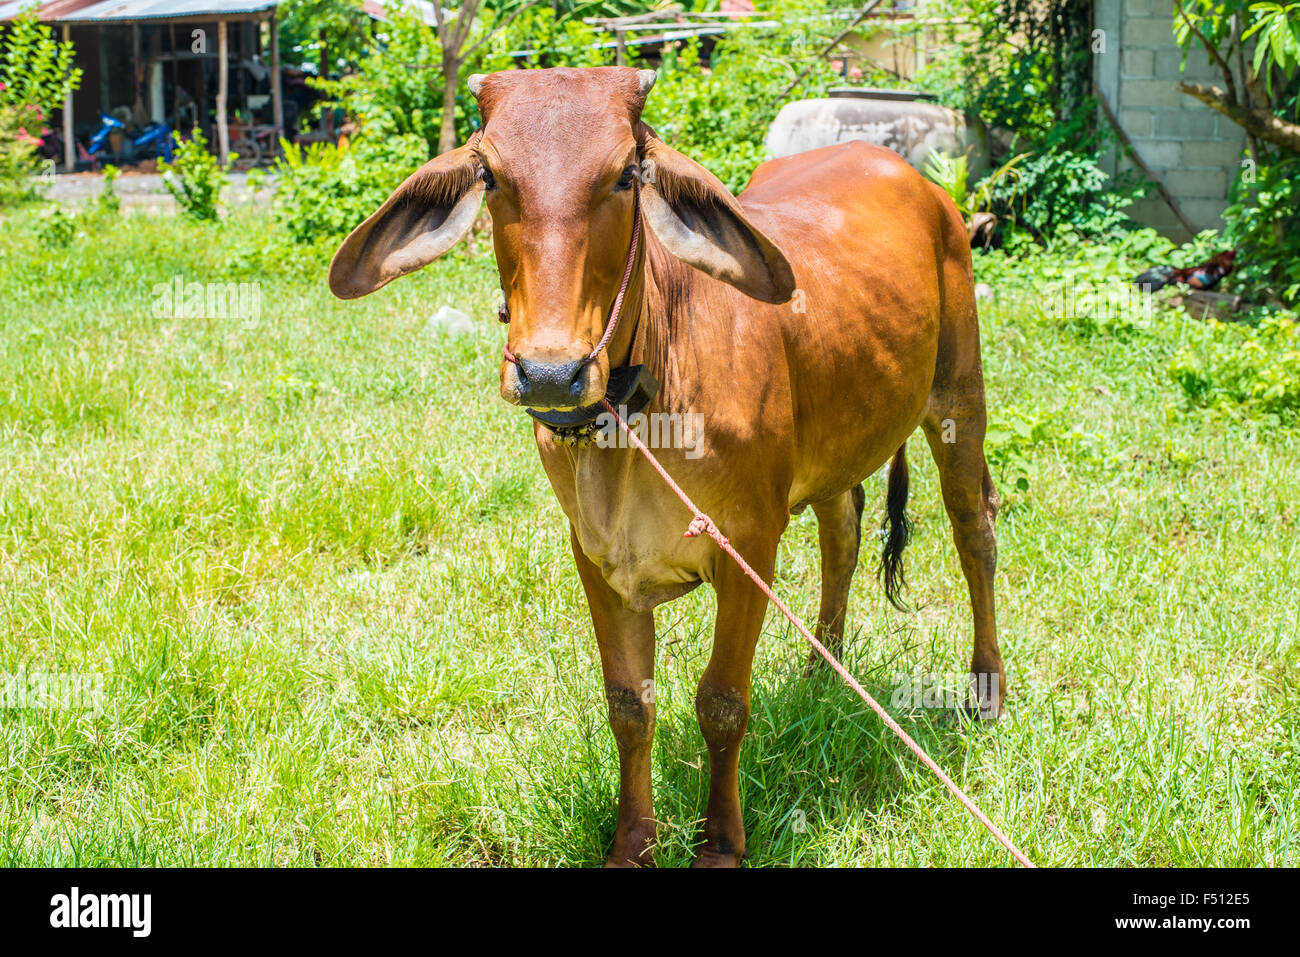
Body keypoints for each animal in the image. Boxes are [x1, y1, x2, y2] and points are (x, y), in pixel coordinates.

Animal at [329, 66, 1004, 867]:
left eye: (626, 174)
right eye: (490, 175)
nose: (550, 372)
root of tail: (914, 178)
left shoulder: (749, 546)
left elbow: (722, 703)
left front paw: (720, 842)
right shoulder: (595, 558)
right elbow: (628, 705)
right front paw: (632, 843)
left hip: (958, 398)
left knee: (973, 531)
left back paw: (985, 689)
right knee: (843, 529)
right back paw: (821, 670)